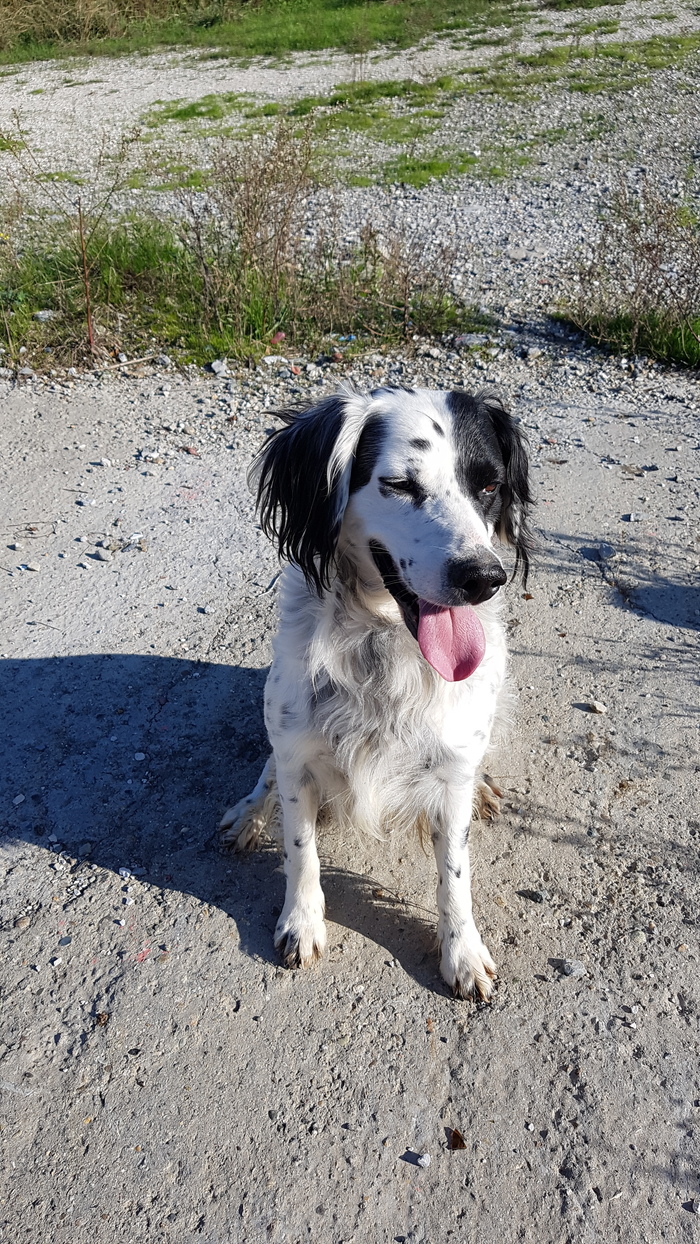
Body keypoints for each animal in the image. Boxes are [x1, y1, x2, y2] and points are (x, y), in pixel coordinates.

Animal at [221, 383, 534, 995]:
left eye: (489, 485)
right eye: (400, 485)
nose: (484, 578)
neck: (385, 642)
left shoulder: (450, 773)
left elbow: (454, 874)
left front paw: (462, 952)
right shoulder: (298, 755)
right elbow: (301, 848)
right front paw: (301, 922)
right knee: (267, 772)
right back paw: (249, 813)